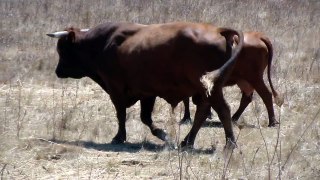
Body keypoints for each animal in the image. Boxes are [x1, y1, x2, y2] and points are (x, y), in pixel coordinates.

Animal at [47, 21, 242, 148]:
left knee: (222, 110)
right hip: (206, 91)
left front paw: (119, 137)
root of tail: (219, 30)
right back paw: (187, 141)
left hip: (211, 89)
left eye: (62, 49)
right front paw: (164, 135)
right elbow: (145, 118)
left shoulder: (116, 89)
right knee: (202, 112)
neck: (102, 44)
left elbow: (121, 115)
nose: (57, 71)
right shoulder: (147, 93)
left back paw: (230, 143)